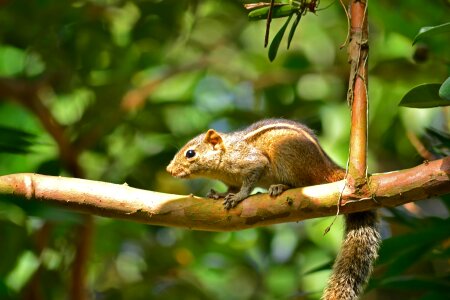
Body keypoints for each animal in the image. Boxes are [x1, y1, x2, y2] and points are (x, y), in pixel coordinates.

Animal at [166, 118, 380, 298]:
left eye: (190, 153)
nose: (169, 170)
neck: (226, 155)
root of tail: (327, 168)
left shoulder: (252, 162)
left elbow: (249, 181)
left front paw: (239, 197)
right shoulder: (231, 181)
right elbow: (231, 188)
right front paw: (219, 194)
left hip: (288, 157)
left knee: (302, 183)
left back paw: (281, 186)